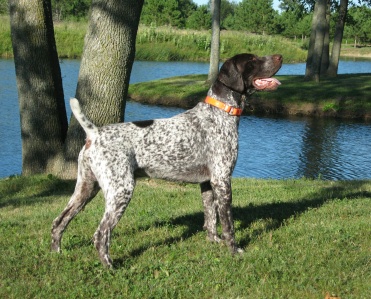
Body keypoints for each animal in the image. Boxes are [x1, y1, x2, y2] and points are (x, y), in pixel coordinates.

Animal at [51, 53, 282, 268]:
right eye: (252, 60)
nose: (279, 56)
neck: (220, 112)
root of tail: (94, 133)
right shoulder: (222, 180)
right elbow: (228, 224)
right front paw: (234, 251)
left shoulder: (208, 183)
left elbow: (210, 218)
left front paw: (213, 242)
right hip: (121, 191)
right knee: (101, 234)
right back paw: (110, 266)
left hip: (86, 188)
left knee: (58, 222)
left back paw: (57, 253)